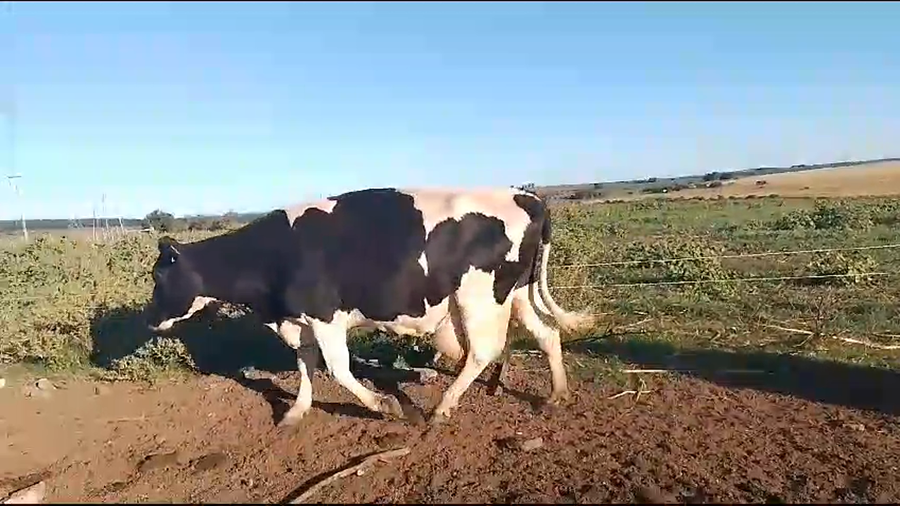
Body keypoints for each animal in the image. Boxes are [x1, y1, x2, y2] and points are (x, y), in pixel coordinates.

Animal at [145, 187, 595, 426]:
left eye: (158, 278)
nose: (149, 321)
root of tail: (524, 194)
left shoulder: (325, 316)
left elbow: (338, 370)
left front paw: (385, 404)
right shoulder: (300, 321)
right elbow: (306, 366)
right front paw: (297, 412)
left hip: (479, 294)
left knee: (483, 350)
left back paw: (442, 407)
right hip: (516, 290)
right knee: (546, 333)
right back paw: (556, 394)